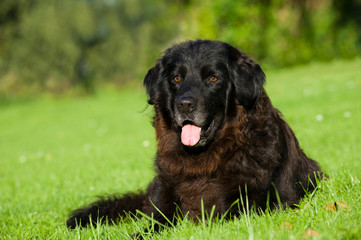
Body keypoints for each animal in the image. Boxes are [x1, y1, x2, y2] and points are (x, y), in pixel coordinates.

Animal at [67, 39, 324, 232]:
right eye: (176, 78)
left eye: (213, 78)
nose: (185, 104)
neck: (204, 158)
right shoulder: (164, 198)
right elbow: (153, 225)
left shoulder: (246, 205)